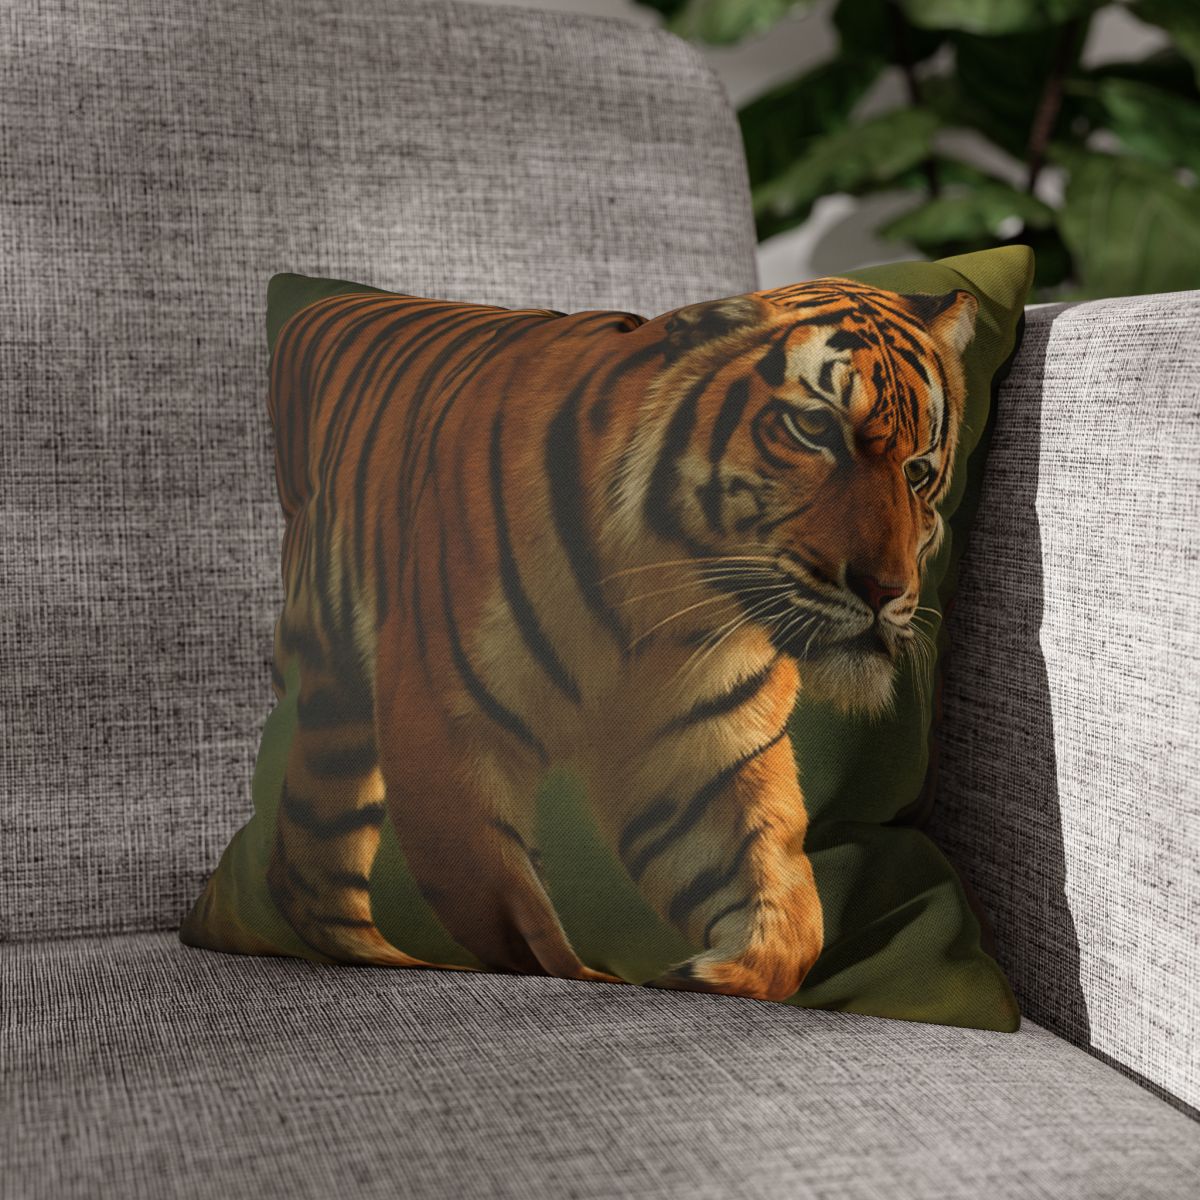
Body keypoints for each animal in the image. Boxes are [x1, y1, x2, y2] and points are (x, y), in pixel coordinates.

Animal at [189, 276, 977, 1002]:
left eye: (919, 471)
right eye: (813, 428)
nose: (885, 591)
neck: (667, 596)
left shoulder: (705, 756)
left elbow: (790, 917)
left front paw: (713, 974)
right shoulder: (443, 730)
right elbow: (515, 921)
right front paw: (591, 970)